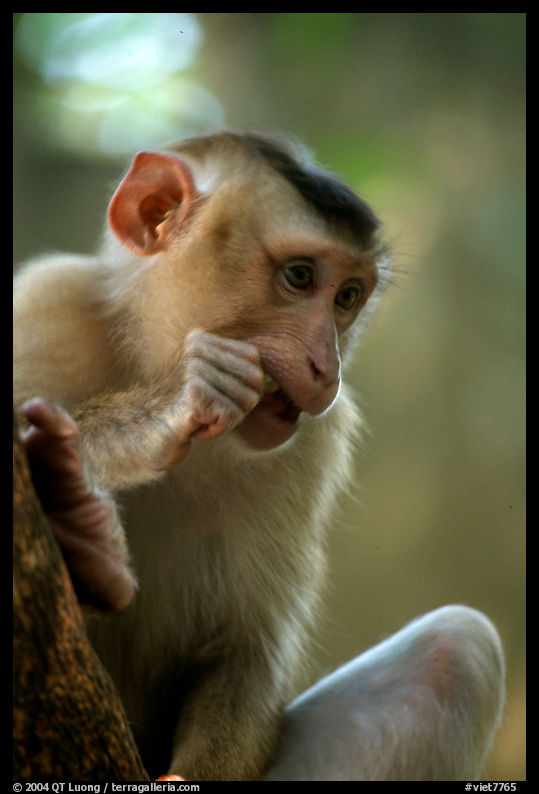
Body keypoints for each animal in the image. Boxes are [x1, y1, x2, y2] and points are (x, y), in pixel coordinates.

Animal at [14, 131, 504, 780]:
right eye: (299, 277)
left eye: (347, 297)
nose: (326, 368)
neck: (145, 354)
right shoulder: (44, 306)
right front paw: (166, 407)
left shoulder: (315, 442)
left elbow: (247, 656)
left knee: (457, 649)